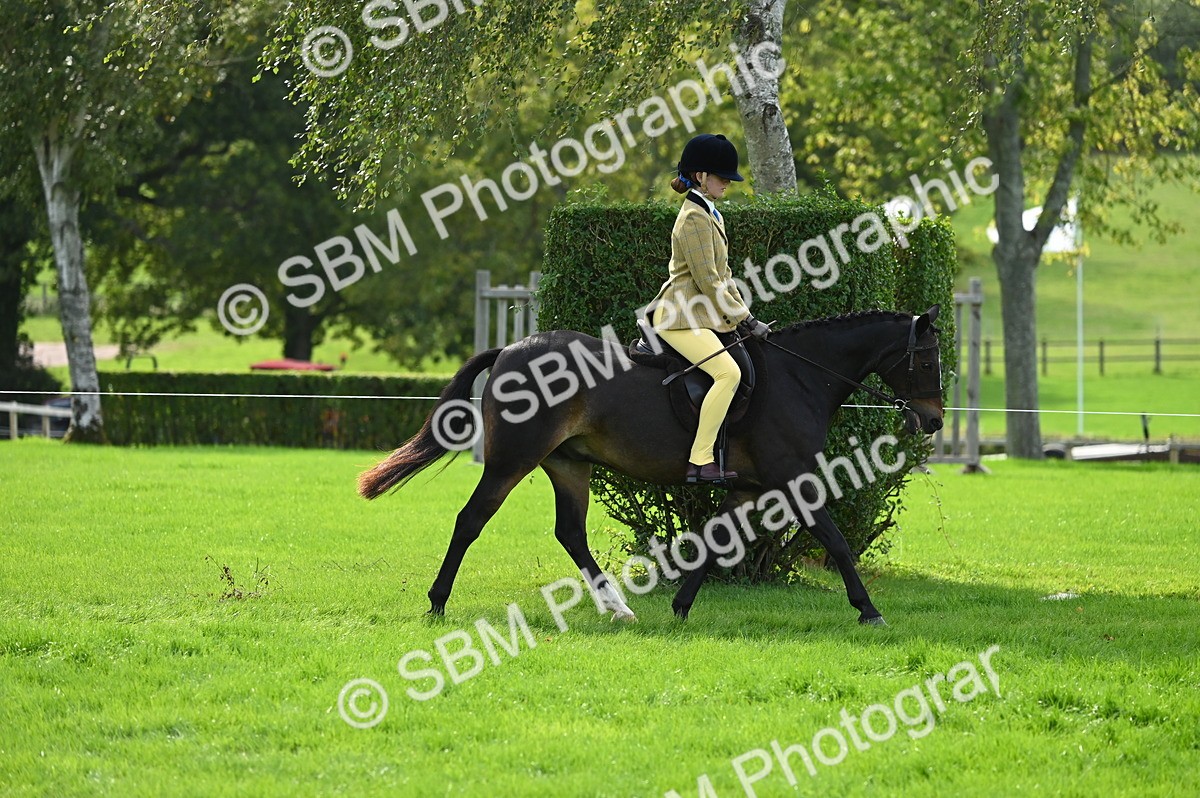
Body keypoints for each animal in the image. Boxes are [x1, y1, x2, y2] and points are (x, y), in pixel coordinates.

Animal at [358, 307, 944, 626]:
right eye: (925, 359)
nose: (934, 420)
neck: (798, 376)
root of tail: (508, 350)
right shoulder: (794, 479)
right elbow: (836, 541)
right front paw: (868, 609)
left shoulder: (749, 487)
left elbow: (715, 541)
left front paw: (681, 607)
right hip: (512, 461)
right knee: (470, 521)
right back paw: (436, 603)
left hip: (567, 465)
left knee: (570, 532)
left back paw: (618, 608)